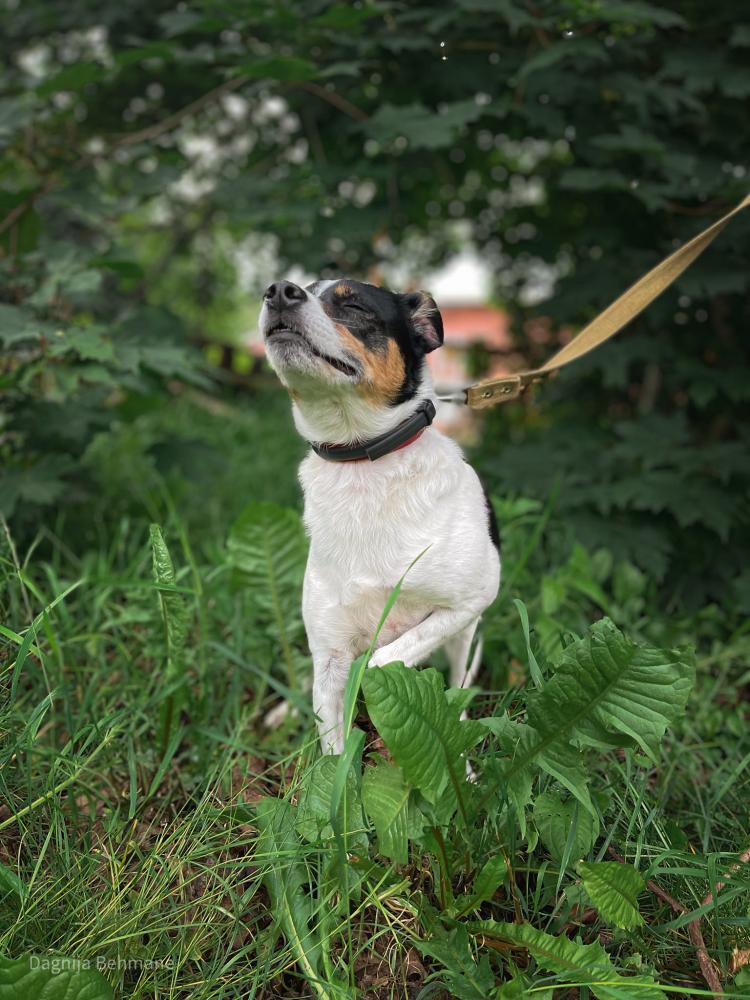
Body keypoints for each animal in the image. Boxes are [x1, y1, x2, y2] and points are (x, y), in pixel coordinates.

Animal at [260, 278, 501, 754]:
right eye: (302, 287)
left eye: (354, 305)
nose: (278, 290)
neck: (363, 466)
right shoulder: (330, 654)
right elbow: (332, 755)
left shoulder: (474, 598)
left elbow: (383, 660)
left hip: (468, 637)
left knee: (459, 684)